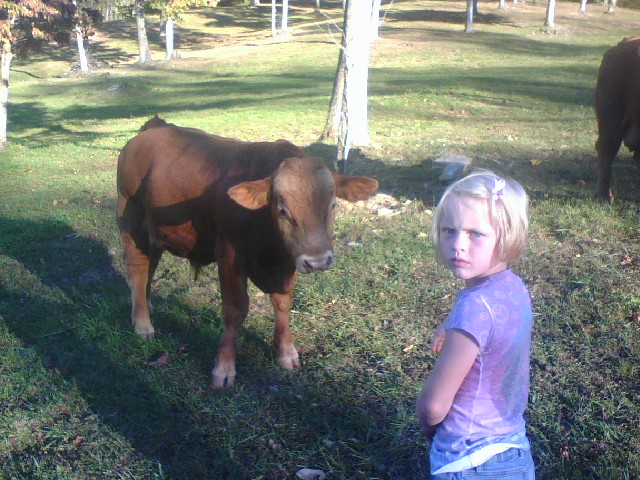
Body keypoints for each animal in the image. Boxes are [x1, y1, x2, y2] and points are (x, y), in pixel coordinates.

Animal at [116, 117, 379, 387]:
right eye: (283, 210)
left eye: (333, 204)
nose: (317, 262)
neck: (269, 246)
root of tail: (154, 128)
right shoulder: (230, 254)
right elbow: (235, 309)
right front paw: (224, 367)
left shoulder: (287, 260)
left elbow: (283, 303)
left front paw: (286, 352)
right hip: (131, 218)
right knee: (137, 270)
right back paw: (142, 324)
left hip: (156, 232)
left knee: (150, 267)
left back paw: (146, 306)